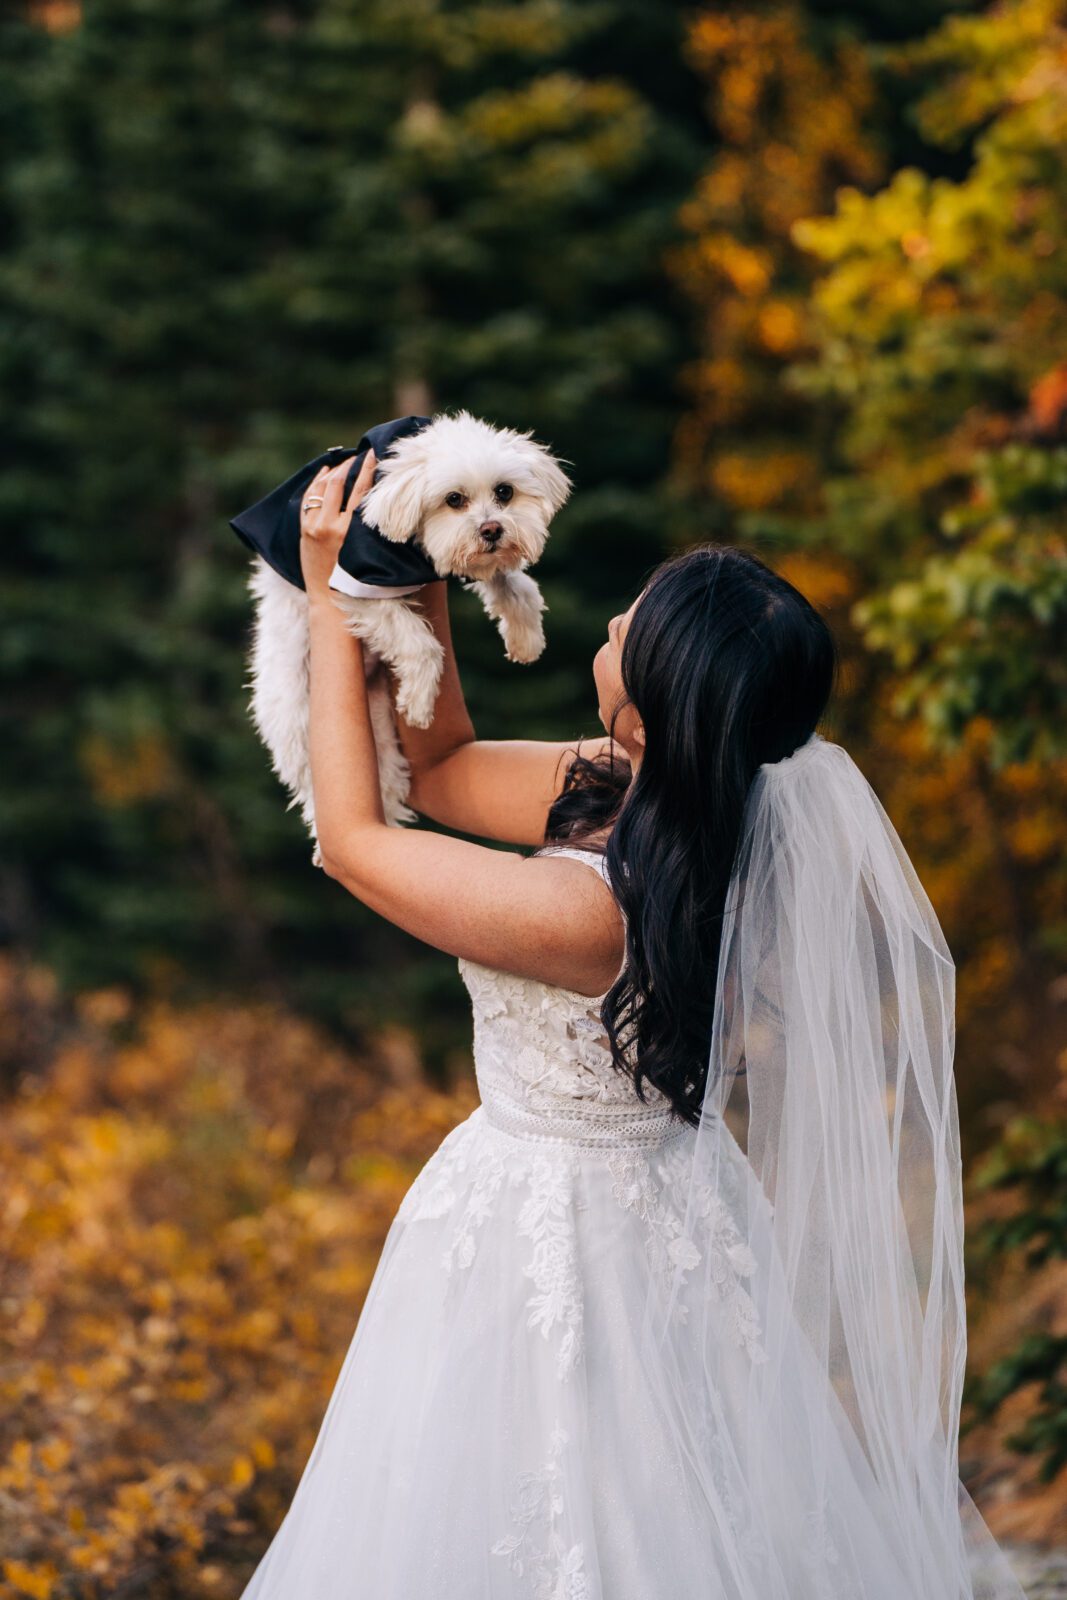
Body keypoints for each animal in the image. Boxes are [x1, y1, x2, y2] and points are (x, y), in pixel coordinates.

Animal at [244, 412, 572, 864]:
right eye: (454, 499)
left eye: (504, 492)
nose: (491, 529)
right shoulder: (359, 580)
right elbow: (421, 642)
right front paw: (419, 702)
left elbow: (515, 585)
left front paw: (525, 637)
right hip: (295, 714)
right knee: (311, 783)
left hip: (381, 733)